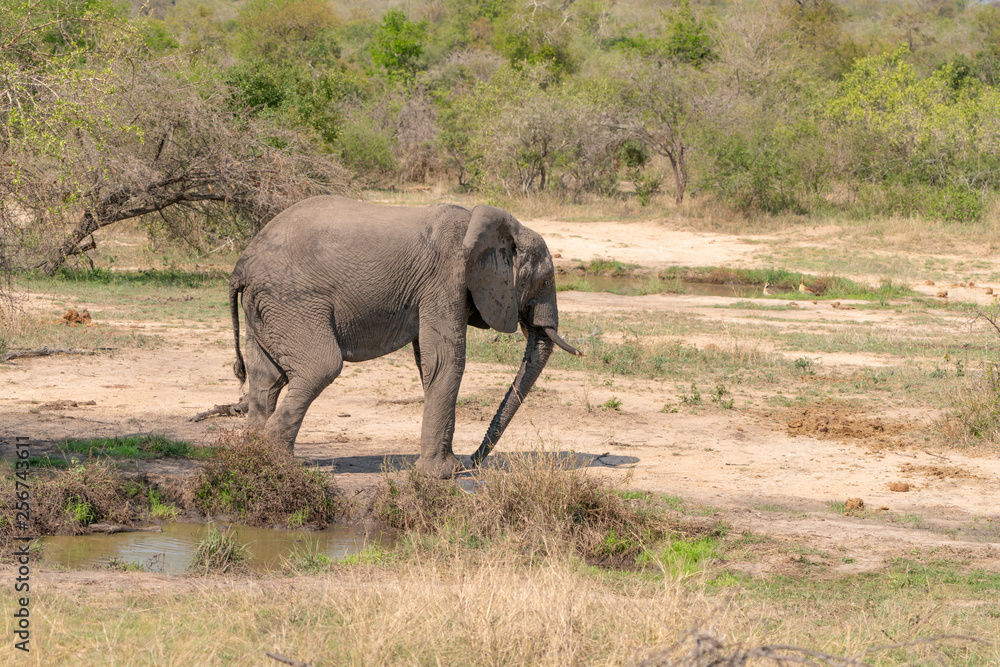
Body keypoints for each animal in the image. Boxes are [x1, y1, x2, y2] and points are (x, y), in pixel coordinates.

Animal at [228, 196, 582, 478]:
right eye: (544, 280)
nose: (474, 461)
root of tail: (242, 264)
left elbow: (428, 363)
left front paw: (447, 469)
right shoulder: (446, 279)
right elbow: (446, 360)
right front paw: (442, 475)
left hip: (267, 307)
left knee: (266, 378)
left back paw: (253, 455)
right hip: (291, 299)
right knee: (320, 367)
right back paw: (275, 462)